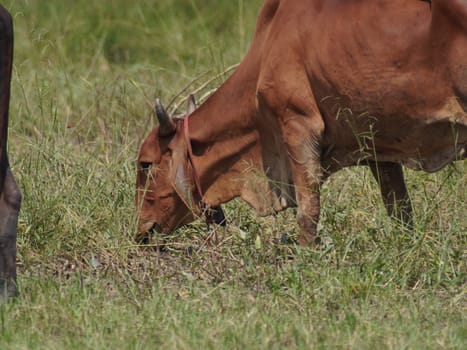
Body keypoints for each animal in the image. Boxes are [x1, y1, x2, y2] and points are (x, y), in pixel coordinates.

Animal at [135, 0, 464, 246]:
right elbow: (399, 208)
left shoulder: (297, 125)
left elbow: (308, 211)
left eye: (146, 164)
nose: (140, 231)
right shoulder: (376, 146)